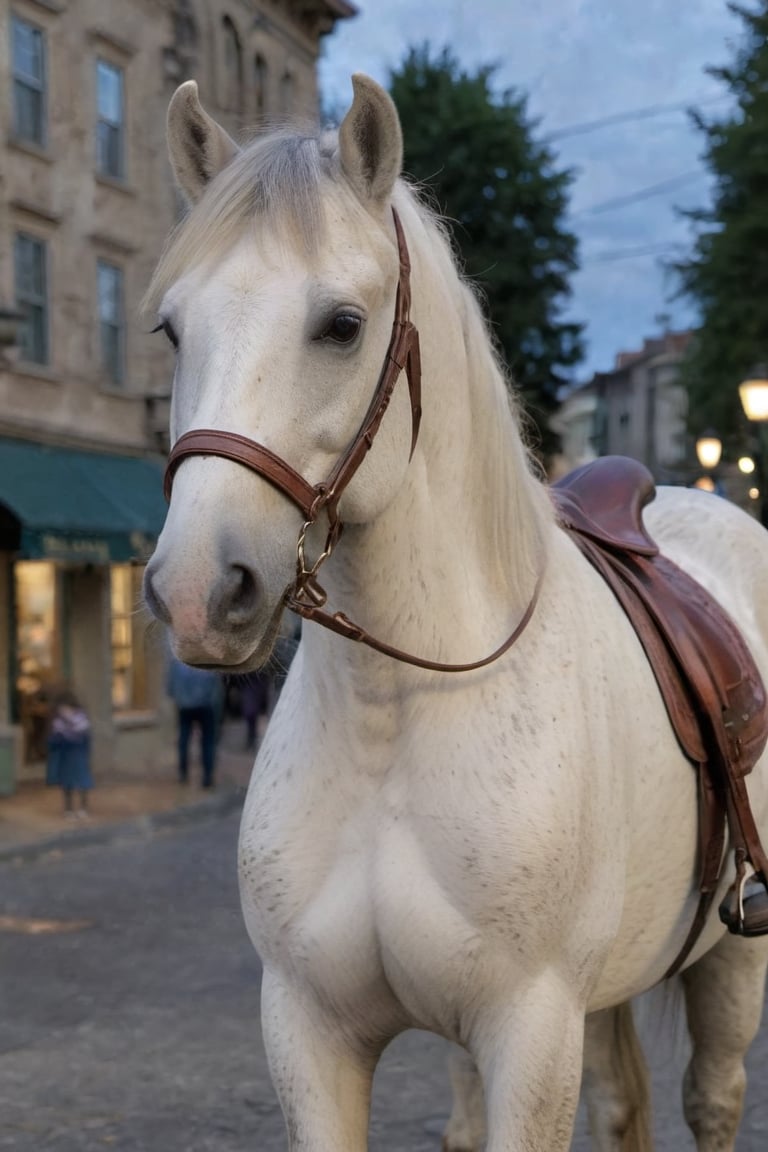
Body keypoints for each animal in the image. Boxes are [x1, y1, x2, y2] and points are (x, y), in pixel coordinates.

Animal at [142, 76, 768, 1147]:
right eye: (174, 329)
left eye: (342, 325)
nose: (196, 591)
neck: (392, 716)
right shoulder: (310, 1035)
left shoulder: (532, 1032)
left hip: (733, 962)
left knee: (713, 1100)